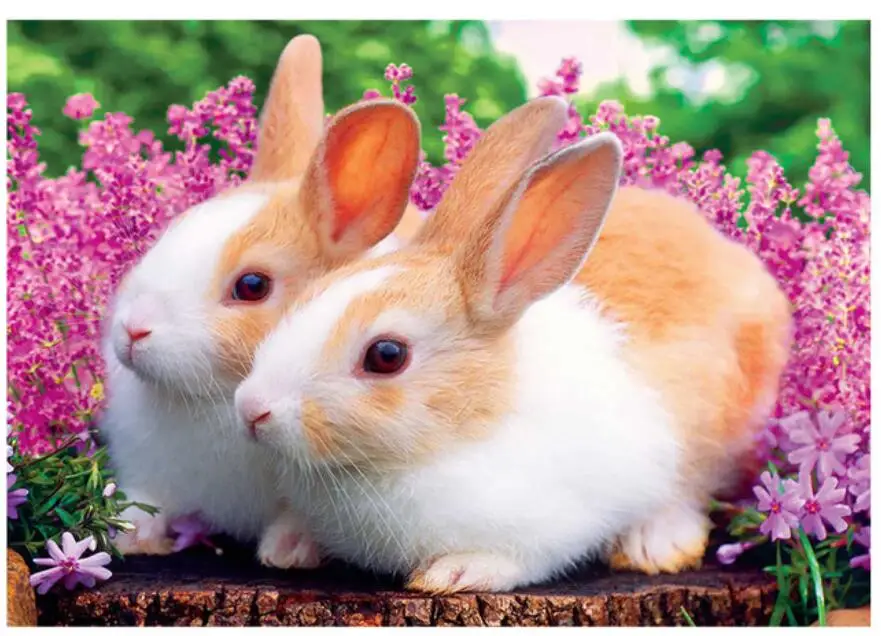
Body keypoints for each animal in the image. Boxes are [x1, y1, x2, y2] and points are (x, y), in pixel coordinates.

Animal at [100, 33, 422, 569]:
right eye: (172, 228)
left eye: (252, 286)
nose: (132, 330)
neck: (211, 400)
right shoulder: (149, 471)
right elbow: (147, 501)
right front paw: (129, 536)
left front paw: (287, 551)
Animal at [232, 92, 793, 593]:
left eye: (386, 356)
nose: (252, 408)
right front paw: (286, 547)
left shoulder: (559, 521)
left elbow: (522, 557)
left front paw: (454, 574)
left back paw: (654, 545)